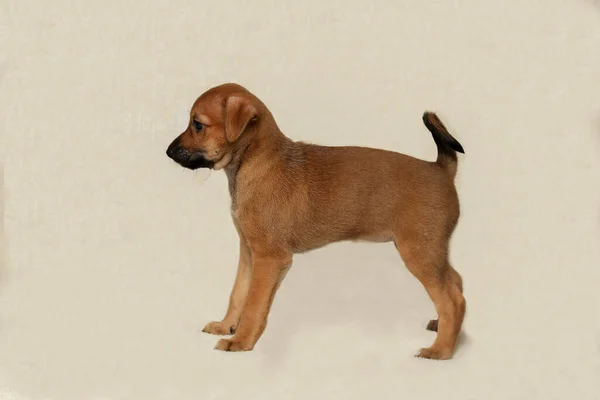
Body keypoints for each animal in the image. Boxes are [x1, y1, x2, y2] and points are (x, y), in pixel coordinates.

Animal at [166, 83, 466, 360]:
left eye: (198, 125)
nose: (169, 152)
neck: (256, 161)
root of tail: (441, 169)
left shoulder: (269, 258)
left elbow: (253, 304)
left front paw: (240, 342)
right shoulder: (249, 253)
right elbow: (238, 294)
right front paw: (226, 326)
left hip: (419, 253)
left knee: (453, 300)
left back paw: (441, 350)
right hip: (433, 252)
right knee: (455, 281)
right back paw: (443, 328)